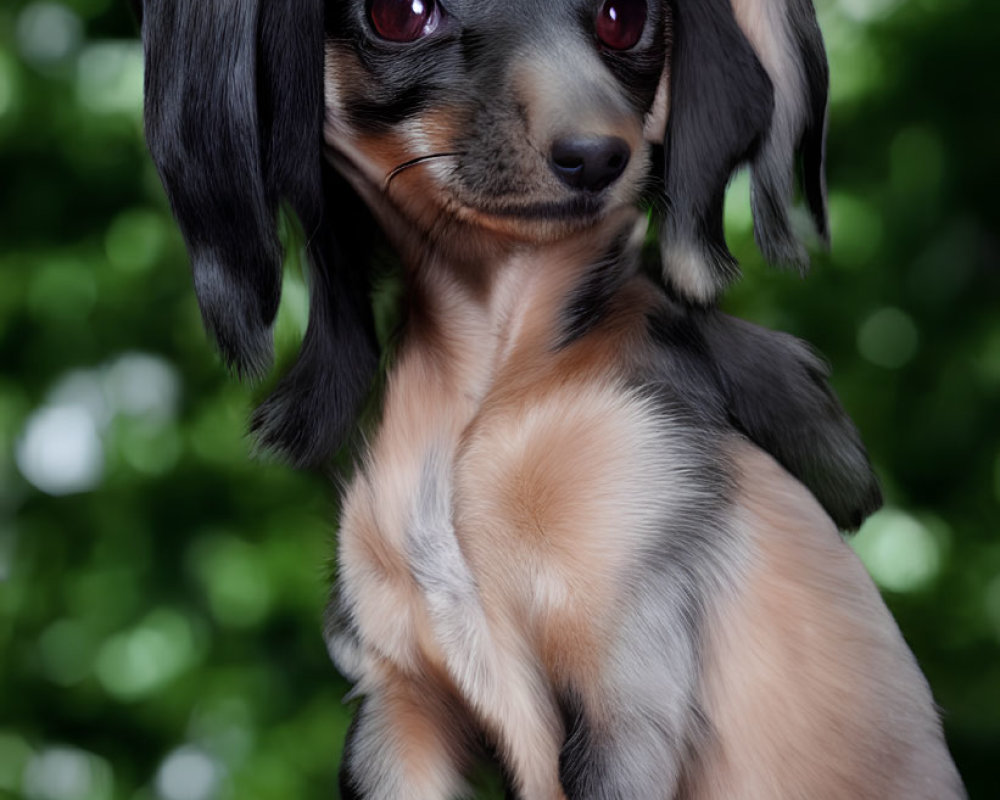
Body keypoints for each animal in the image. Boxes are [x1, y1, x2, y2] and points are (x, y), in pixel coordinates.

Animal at [133, 1, 960, 800]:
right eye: (399, 14)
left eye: (625, 18)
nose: (596, 155)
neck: (495, 384)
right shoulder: (399, 711)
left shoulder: (626, 695)